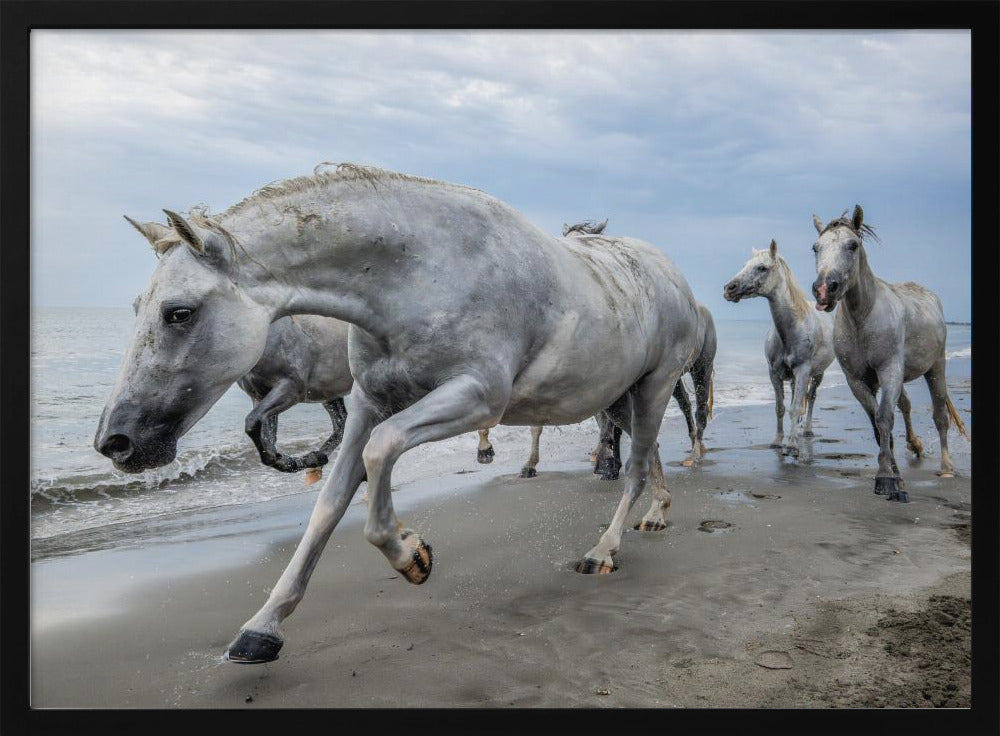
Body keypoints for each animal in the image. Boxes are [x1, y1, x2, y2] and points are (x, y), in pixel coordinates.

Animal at [95, 163, 702, 663]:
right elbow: (331, 501)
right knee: (649, 459)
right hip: (619, 399)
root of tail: (673, 274)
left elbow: (380, 450)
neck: (422, 273)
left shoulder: (477, 397)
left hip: (653, 389)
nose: (116, 442)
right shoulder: (368, 402)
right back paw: (657, 514)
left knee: (633, 469)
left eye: (179, 313)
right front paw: (263, 627)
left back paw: (603, 551)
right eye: (138, 307)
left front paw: (411, 554)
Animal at [724, 239, 834, 455]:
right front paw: (777, 440)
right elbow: (781, 408)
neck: (791, 331)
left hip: (818, 374)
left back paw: (806, 430)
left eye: (762, 268)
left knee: (811, 398)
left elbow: (796, 407)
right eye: (744, 265)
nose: (729, 288)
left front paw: (791, 445)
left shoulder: (803, 371)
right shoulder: (774, 373)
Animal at [810, 205, 969, 502]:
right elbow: (877, 425)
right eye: (816, 247)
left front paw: (886, 479)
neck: (863, 317)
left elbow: (884, 418)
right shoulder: (858, 381)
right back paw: (916, 446)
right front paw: (895, 475)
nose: (825, 289)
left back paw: (946, 468)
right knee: (905, 406)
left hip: (936, 367)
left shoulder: (889, 371)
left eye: (852, 245)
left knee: (940, 416)